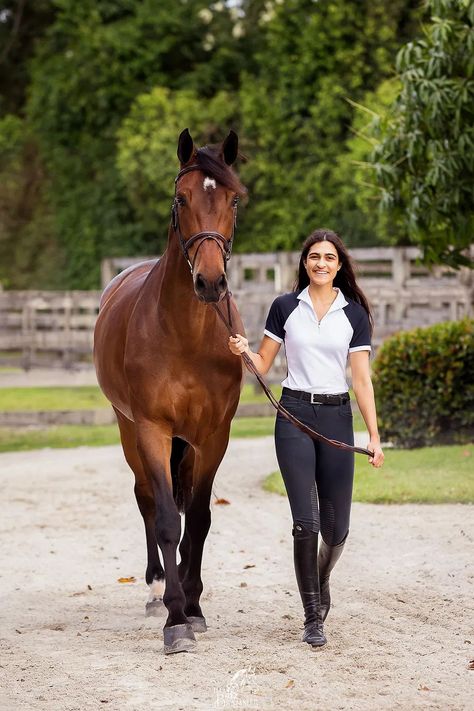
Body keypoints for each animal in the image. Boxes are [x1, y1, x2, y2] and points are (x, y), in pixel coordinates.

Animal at [93, 129, 248, 656]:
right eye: (181, 199)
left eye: (233, 200)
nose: (210, 281)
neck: (186, 333)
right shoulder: (153, 430)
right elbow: (165, 518)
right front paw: (176, 619)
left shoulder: (213, 435)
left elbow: (197, 519)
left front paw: (195, 607)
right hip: (128, 430)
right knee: (145, 498)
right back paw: (157, 587)